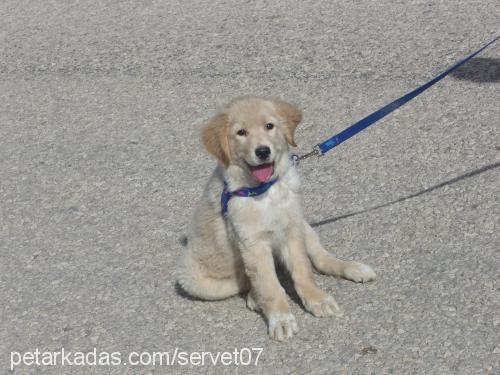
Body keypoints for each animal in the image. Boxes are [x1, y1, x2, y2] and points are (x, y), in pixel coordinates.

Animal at [179, 96, 376, 340]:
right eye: (241, 132)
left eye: (269, 126)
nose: (263, 151)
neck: (264, 191)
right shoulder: (253, 245)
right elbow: (270, 286)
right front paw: (281, 319)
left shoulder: (291, 229)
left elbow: (303, 271)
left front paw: (317, 300)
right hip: (193, 279)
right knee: (246, 282)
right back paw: (255, 297)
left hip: (303, 224)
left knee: (321, 258)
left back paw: (354, 268)